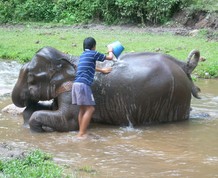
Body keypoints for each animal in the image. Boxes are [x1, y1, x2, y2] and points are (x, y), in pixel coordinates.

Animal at [11, 46, 200, 132]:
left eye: (31, 79)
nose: (26, 100)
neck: (65, 56)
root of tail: (183, 66)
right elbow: (51, 109)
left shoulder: (73, 88)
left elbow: (69, 121)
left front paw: (39, 128)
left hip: (174, 97)